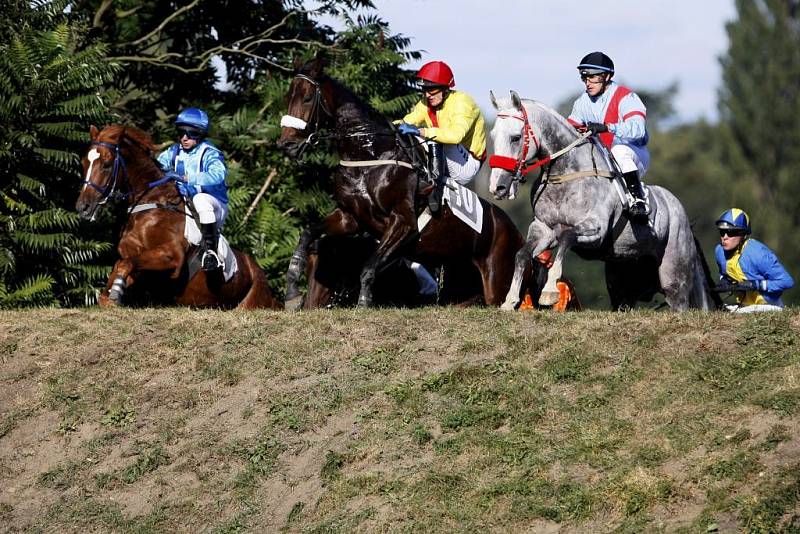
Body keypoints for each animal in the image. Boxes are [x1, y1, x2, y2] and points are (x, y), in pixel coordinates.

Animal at [75, 125, 280, 310]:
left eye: (106, 165)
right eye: (84, 163)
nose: (83, 207)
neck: (149, 205)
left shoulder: (172, 255)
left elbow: (125, 264)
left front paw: (116, 292)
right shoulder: (137, 261)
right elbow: (119, 270)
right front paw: (113, 294)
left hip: (253, 300)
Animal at [276, 59, 536, 310]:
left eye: (307, 97)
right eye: (287, 98)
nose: (287, 145)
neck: (370, 156)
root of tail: (516, 233)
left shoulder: (403, 223)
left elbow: (368, 266)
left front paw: (363, 304)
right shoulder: (349, 217)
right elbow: (307, 235)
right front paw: (292, 293)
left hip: (497, 284)